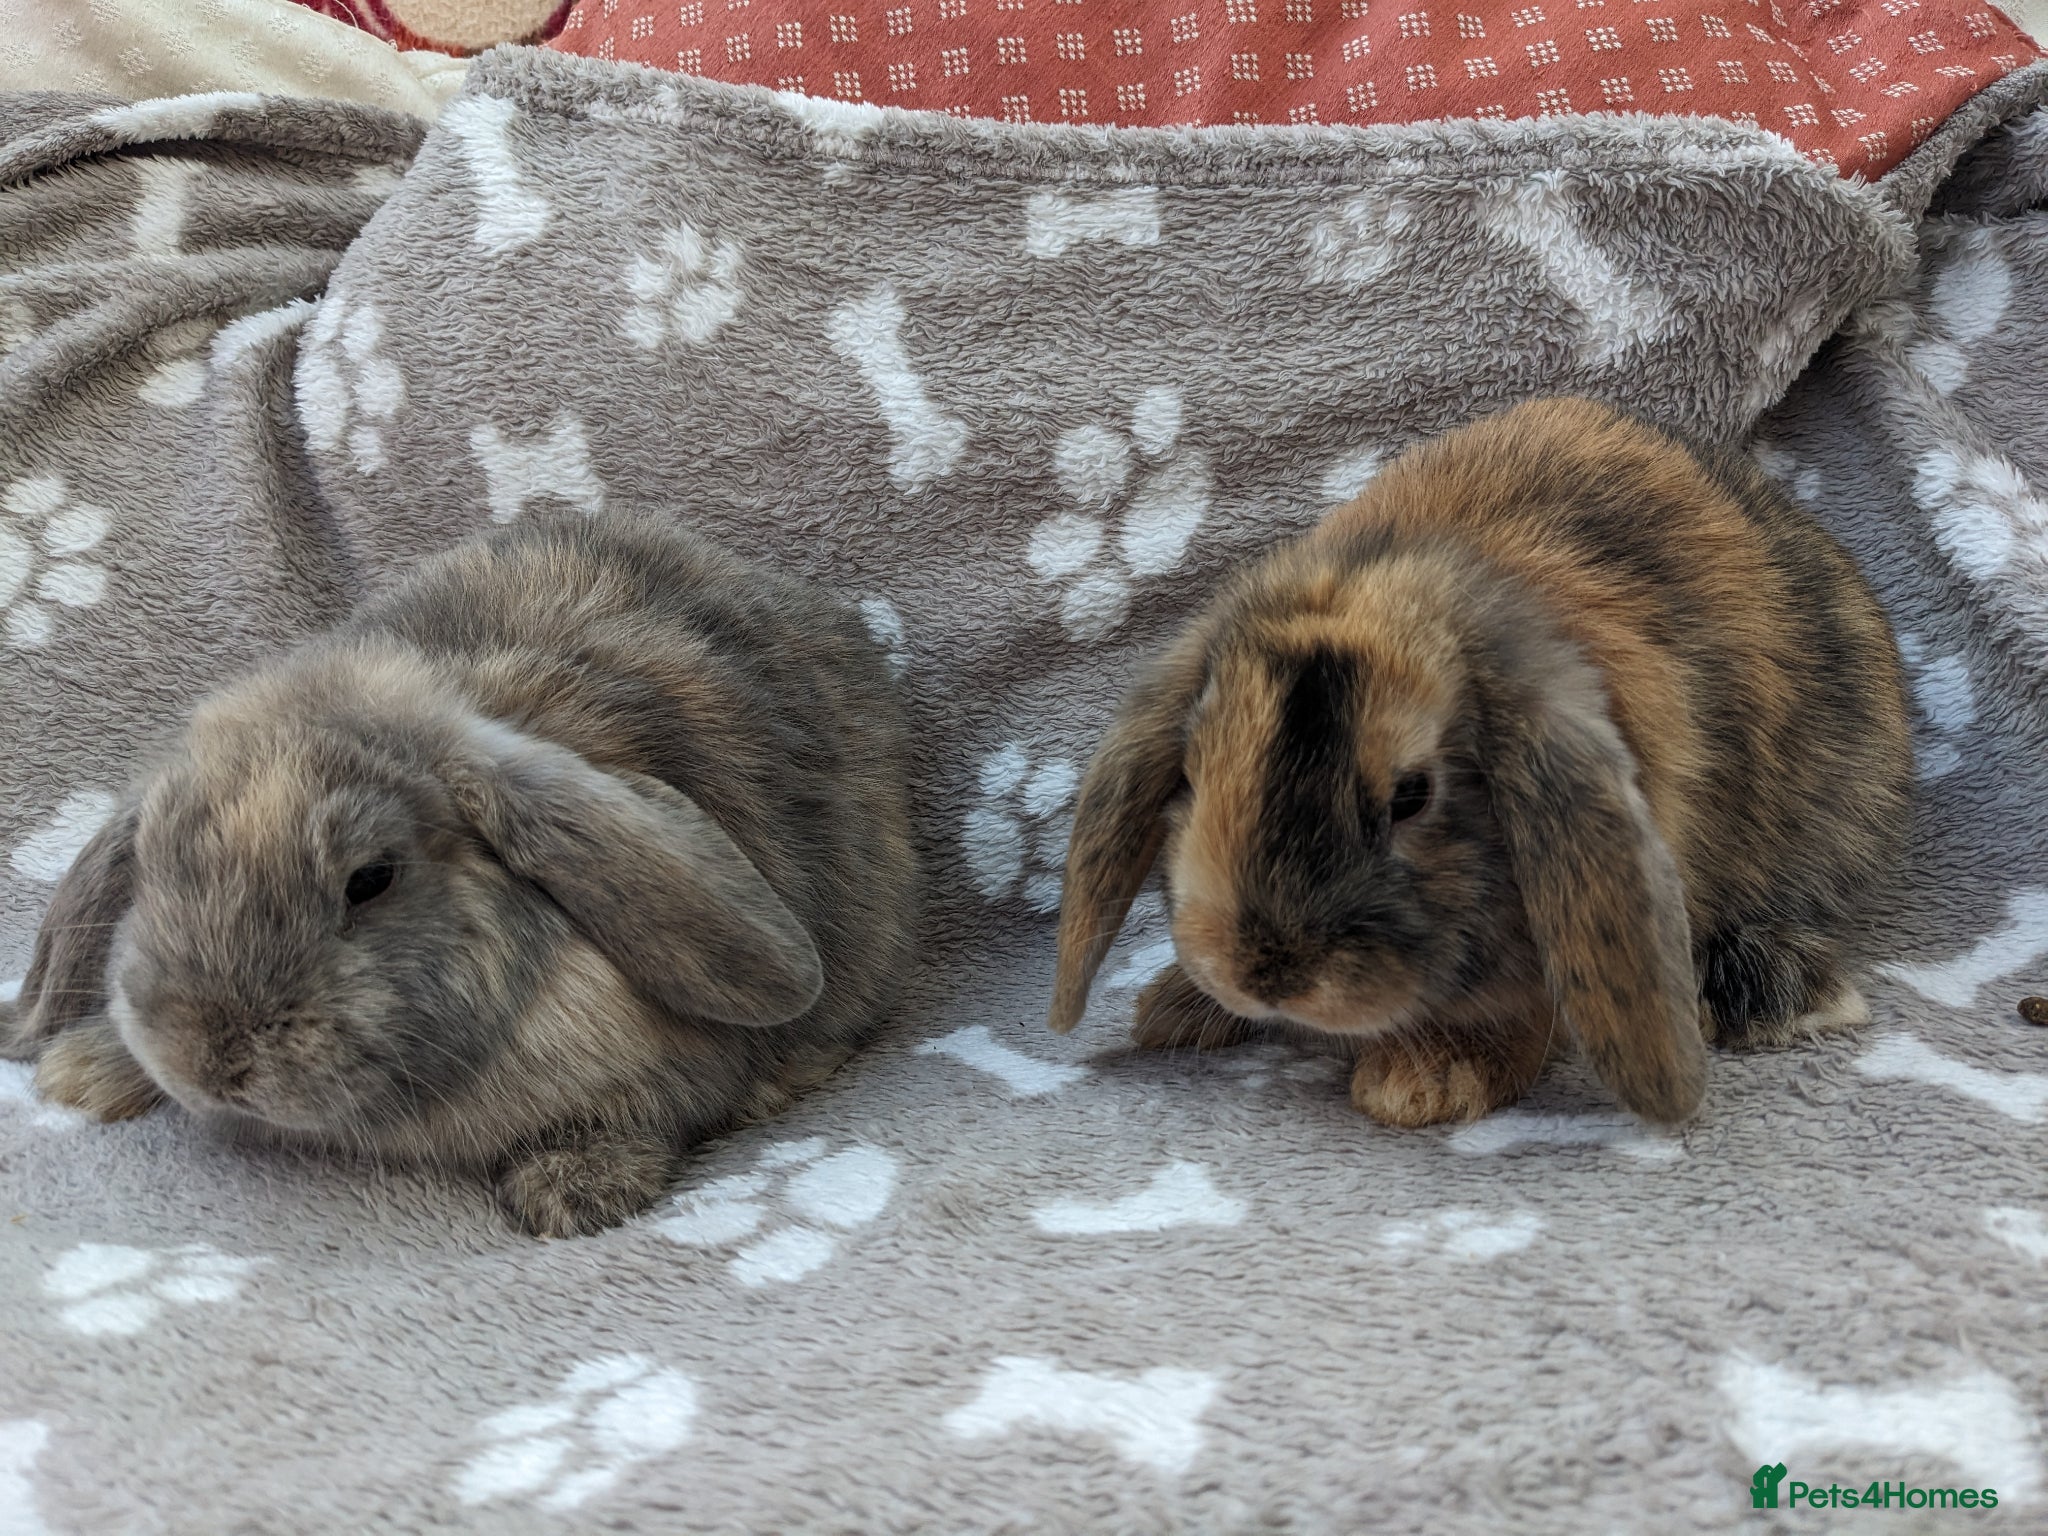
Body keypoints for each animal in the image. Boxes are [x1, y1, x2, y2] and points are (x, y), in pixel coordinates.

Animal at [1046, 397, 1911, 1128]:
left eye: (1412, 795)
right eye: (1195, 775)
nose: (1267, 974)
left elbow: (1527, 1004)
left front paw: (1423, 1082)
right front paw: (1177, 1012)